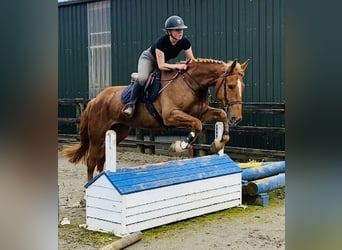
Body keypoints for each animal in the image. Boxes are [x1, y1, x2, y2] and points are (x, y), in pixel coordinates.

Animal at [62, 57, 248, 181]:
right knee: (91, 161)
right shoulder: (171, 116)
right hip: (98, 135)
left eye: (243, 87)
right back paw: (87, 193)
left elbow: (220, 115)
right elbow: (197, 125)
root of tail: (95, 100)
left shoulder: (201, 112)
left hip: (117, 132)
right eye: (231, 86)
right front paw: (179, 146)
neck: (191, 84)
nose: (237, 118)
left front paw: (218, 143)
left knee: (100, 159)